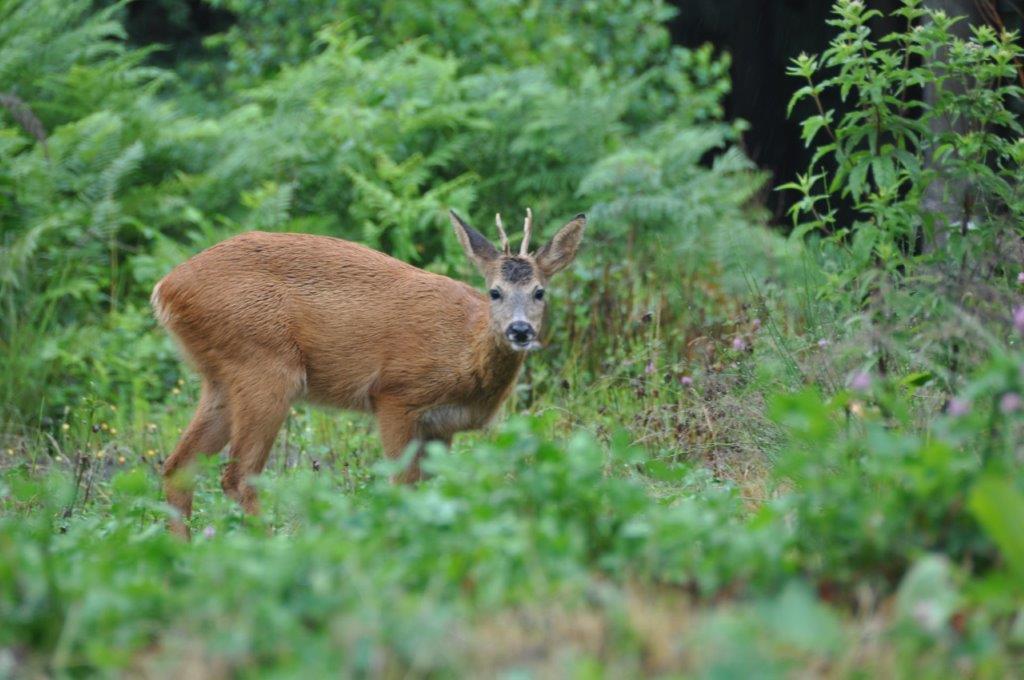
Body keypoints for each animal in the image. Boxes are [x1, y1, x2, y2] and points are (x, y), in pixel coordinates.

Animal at [150, 206, 585, 536]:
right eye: (495, 291)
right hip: (265, 365)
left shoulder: (442, 426)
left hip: (222, 378)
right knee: (238, 476)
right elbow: (401, 485)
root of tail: (165, 288)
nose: (520, 330)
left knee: (178, 466)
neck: (466, 350)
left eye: (540, 292)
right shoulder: (395, 394)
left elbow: (434, 490)